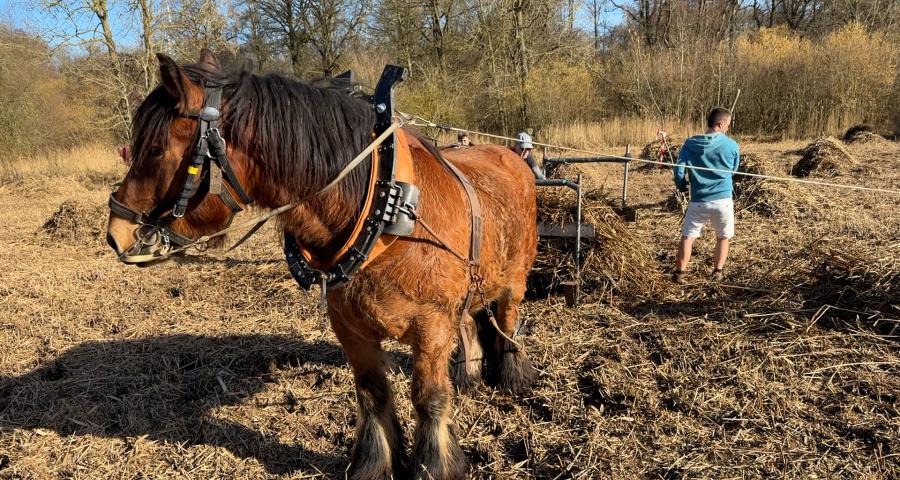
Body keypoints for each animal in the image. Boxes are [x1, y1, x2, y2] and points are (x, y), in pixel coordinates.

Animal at [106, 50, 538, 480]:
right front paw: (374, 464)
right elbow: (372, 393)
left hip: (515, 279)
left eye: (156, 149)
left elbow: (428, 398)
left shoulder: (430, 326)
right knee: (468, 323)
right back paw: (469, 374)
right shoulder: (350, 326)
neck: (388, 210)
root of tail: (510, 157)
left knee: (508, 319)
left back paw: (514, 375)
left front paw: (435, 466)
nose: (116, 233)